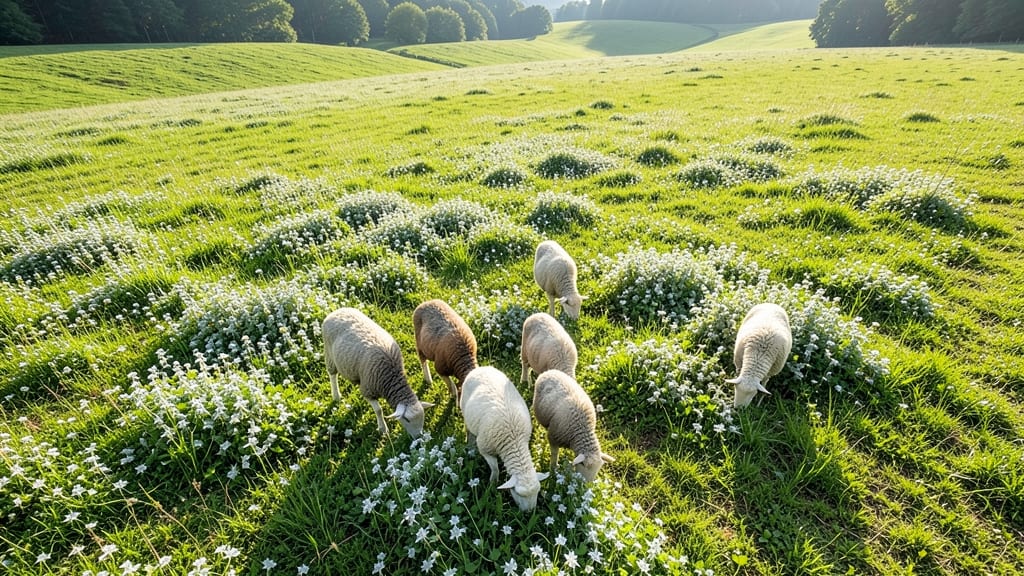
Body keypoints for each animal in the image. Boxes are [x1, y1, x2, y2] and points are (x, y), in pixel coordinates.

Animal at [322, 307, 434, 437]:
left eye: (423, 417)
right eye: (407, 420)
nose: (418, 437)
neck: (390, 375)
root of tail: (337, 311)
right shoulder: (368, 389)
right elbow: (378, 410)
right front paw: (383, 429)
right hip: (329, 353)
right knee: (332, 375)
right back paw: (336, 395)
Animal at [460, 366, 548, 511]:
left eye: (537, 492)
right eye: (518, 494)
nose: (529, 512)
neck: (513, 440)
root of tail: (481, 368)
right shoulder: (485, 449)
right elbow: (495, 469)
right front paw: (492, 484)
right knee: (469, 430)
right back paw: (470, 445)